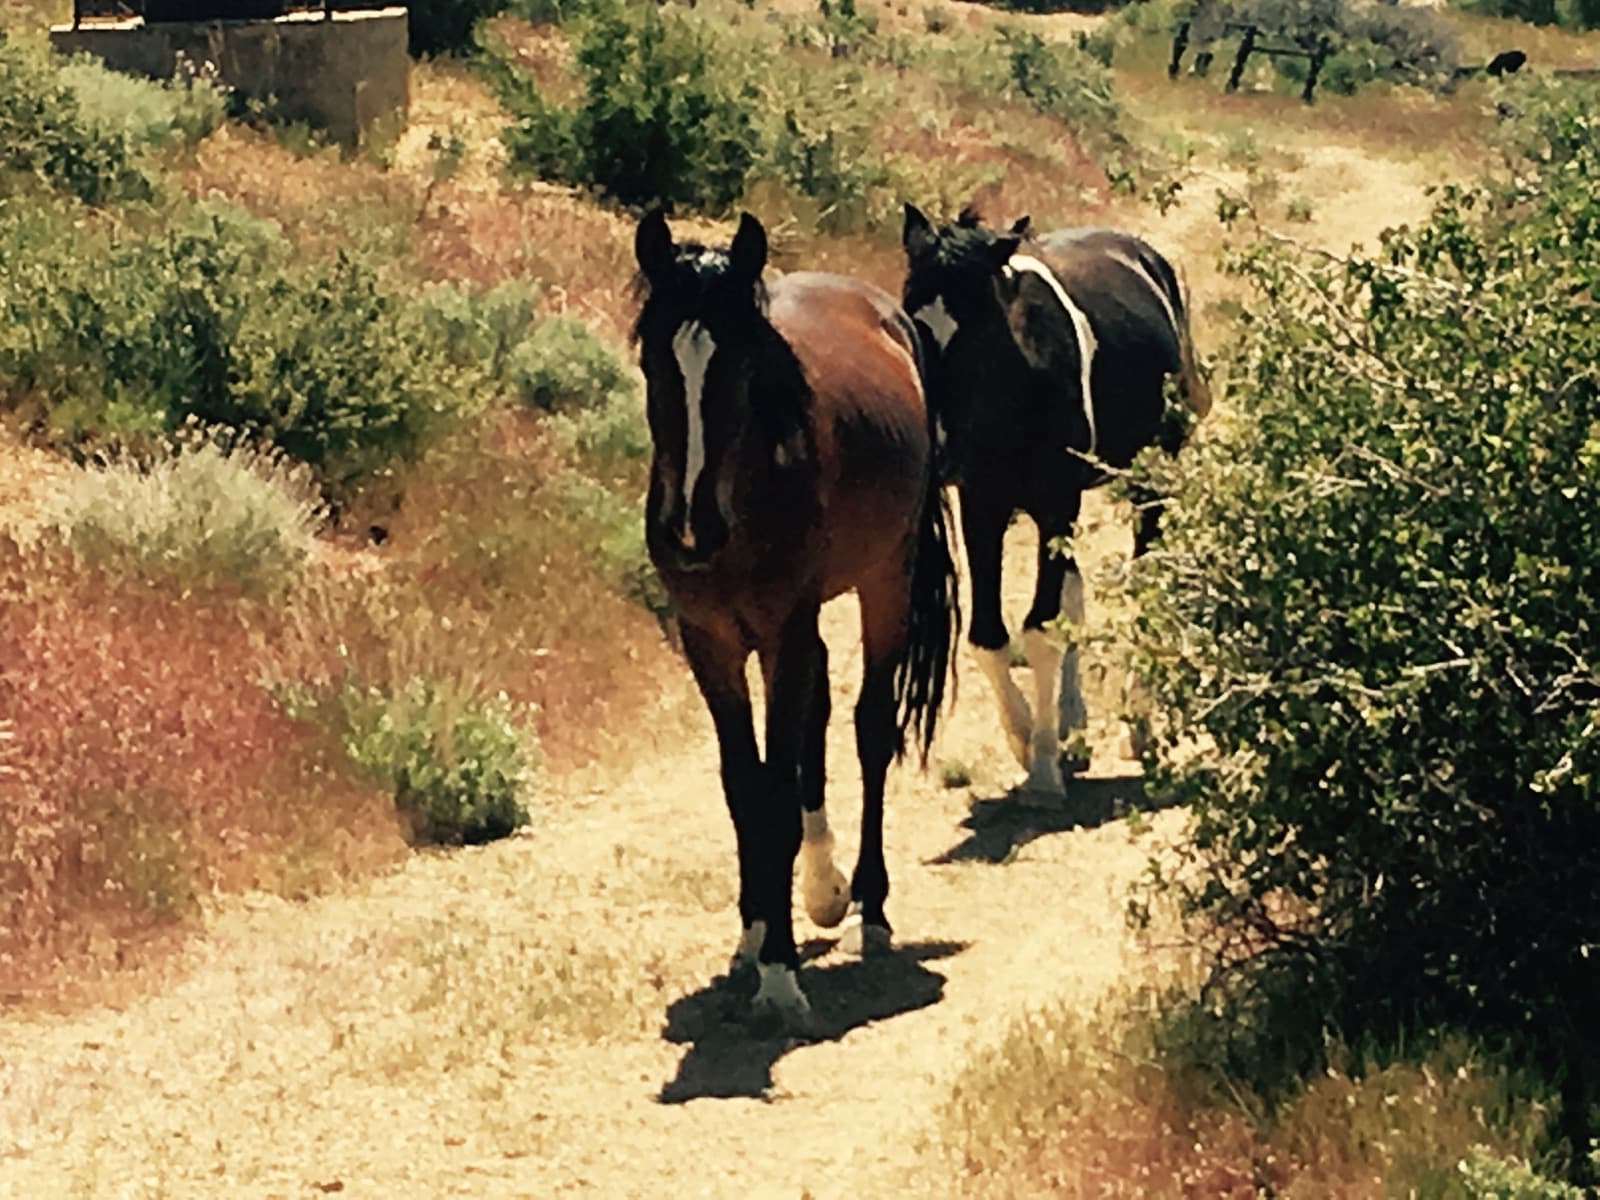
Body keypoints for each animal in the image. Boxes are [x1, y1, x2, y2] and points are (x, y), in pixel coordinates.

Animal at [633, 210, 959, 1028]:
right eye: (653, 361)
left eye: (743, 368)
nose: (691, 531)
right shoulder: (712, 642)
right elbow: (744, 787)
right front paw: (754, 933)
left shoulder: (782, 633)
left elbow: (778, 790)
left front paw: (779, 972)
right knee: (818, 722)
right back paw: (824, 887)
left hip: (885, 581)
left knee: (871, 728)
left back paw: (870, 905)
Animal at [900, 204, 1210, 795]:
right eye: (911, 317)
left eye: (976, 329)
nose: (939, 446)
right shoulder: (983, 505)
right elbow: (991, 635)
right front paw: (1029, 742)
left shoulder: (1054, 503)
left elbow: (1042, 630)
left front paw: (1043, 769)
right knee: (1074, 588)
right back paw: (1074, 725)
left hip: (1147, 477)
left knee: (1142, 578)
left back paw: (1136, 725)